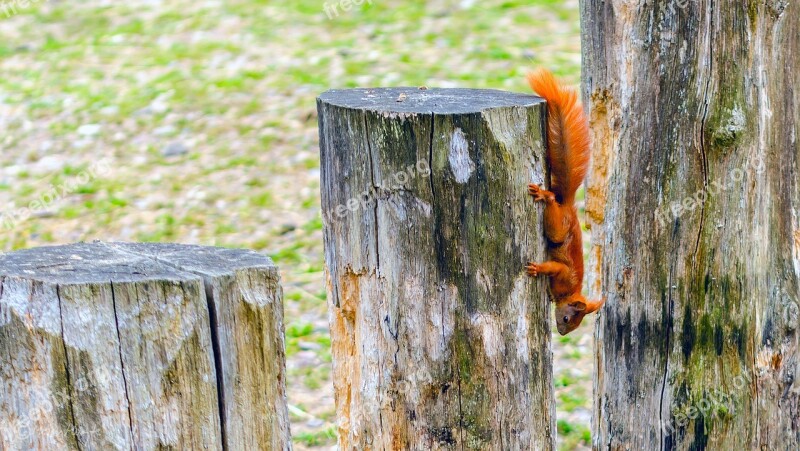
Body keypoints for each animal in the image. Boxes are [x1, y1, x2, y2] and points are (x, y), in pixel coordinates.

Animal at [524, 68, 608, 336]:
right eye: (568, 319)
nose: (562, 333)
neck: (571, 292)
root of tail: (569, 206)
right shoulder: (563, 273)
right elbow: (553, 268)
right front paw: (538, 269)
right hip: (559, 227)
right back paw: (545, 195)